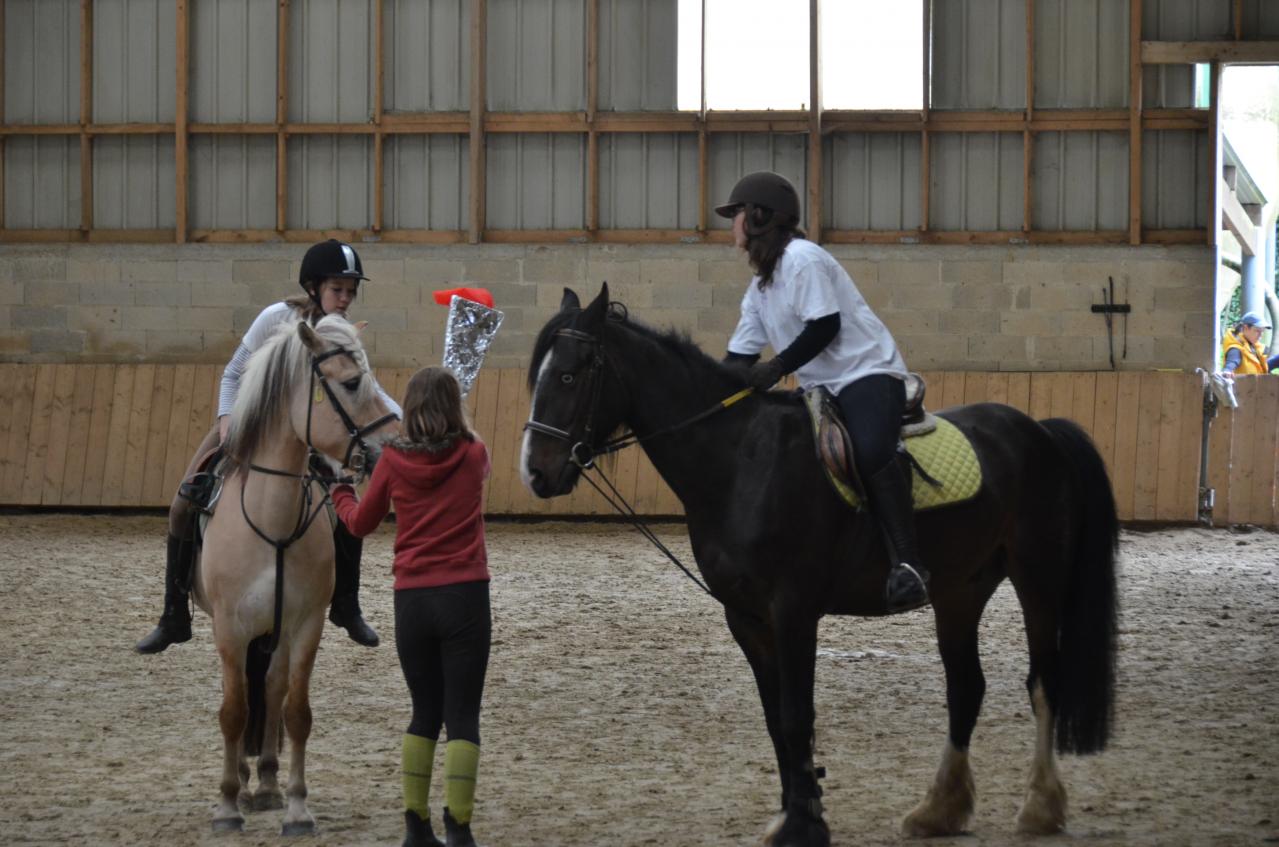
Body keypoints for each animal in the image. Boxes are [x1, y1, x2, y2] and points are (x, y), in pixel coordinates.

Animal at [190, 314, 393, 834]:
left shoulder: (304, 625)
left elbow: (295, 711)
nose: (389, 449)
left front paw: (298, 807)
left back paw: (264, 784)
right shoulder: (230, 628)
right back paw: (244, 785)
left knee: (271, 689)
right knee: (246, 695)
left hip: (276, 633)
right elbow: (233, 711)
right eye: (352, 382)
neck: (271, 520)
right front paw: (226, 806)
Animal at [519, 286, 1120, 847]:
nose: (536, 474)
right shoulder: (747, 619)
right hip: (960, 589)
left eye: (569, 375)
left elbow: (796, 715)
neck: (740, 460)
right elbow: (776, 720)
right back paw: (939, 810)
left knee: (1043, 681)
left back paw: (1040, 807)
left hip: (1038, 578)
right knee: (965, 688)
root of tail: (1039, 430)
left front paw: (803, 823)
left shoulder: (793, 610)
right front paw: (796, 811)